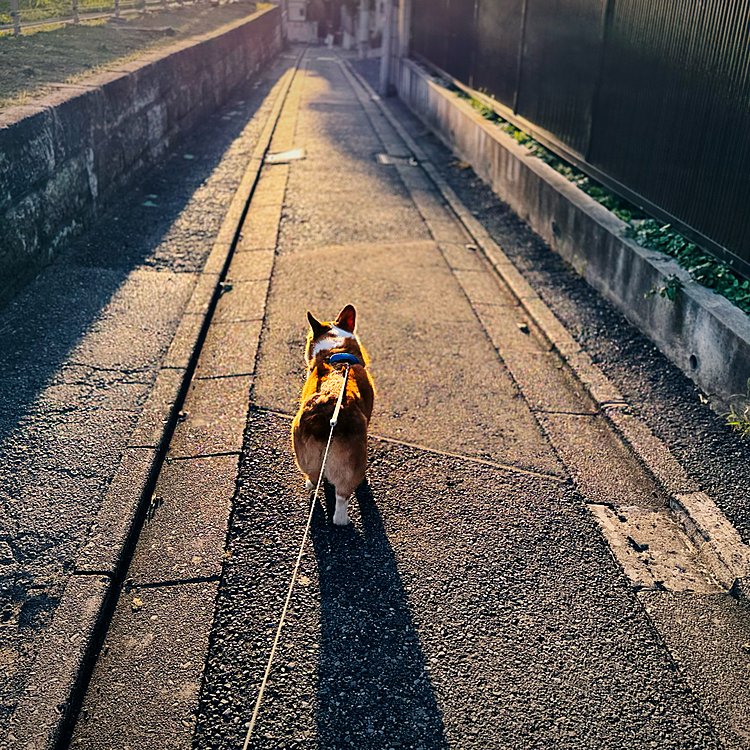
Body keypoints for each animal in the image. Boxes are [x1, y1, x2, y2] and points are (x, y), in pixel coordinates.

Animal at [292, 302, 376, 524]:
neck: (336, 351)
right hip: (351, 465)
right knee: (341, 498)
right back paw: (343, 520)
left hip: (304, 452)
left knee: (313, 478)